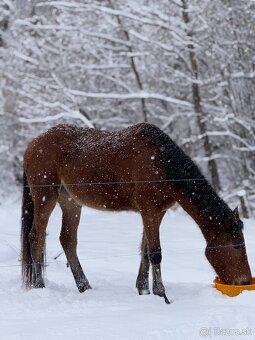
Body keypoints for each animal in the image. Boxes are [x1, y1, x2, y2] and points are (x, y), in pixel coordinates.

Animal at [20, 122, 252, 302]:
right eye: (237, 245)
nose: (245, 281)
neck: (162, 163)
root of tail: (32, 145)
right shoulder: (150, 211)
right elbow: (155, 253)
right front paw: (162, 295)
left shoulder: (155, 213)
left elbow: (145, 250)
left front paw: (143, 290)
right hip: (45, 197)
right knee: (36, 237)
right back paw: (40, 285)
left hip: (70, 202)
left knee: (67, 240)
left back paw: (84, 286)